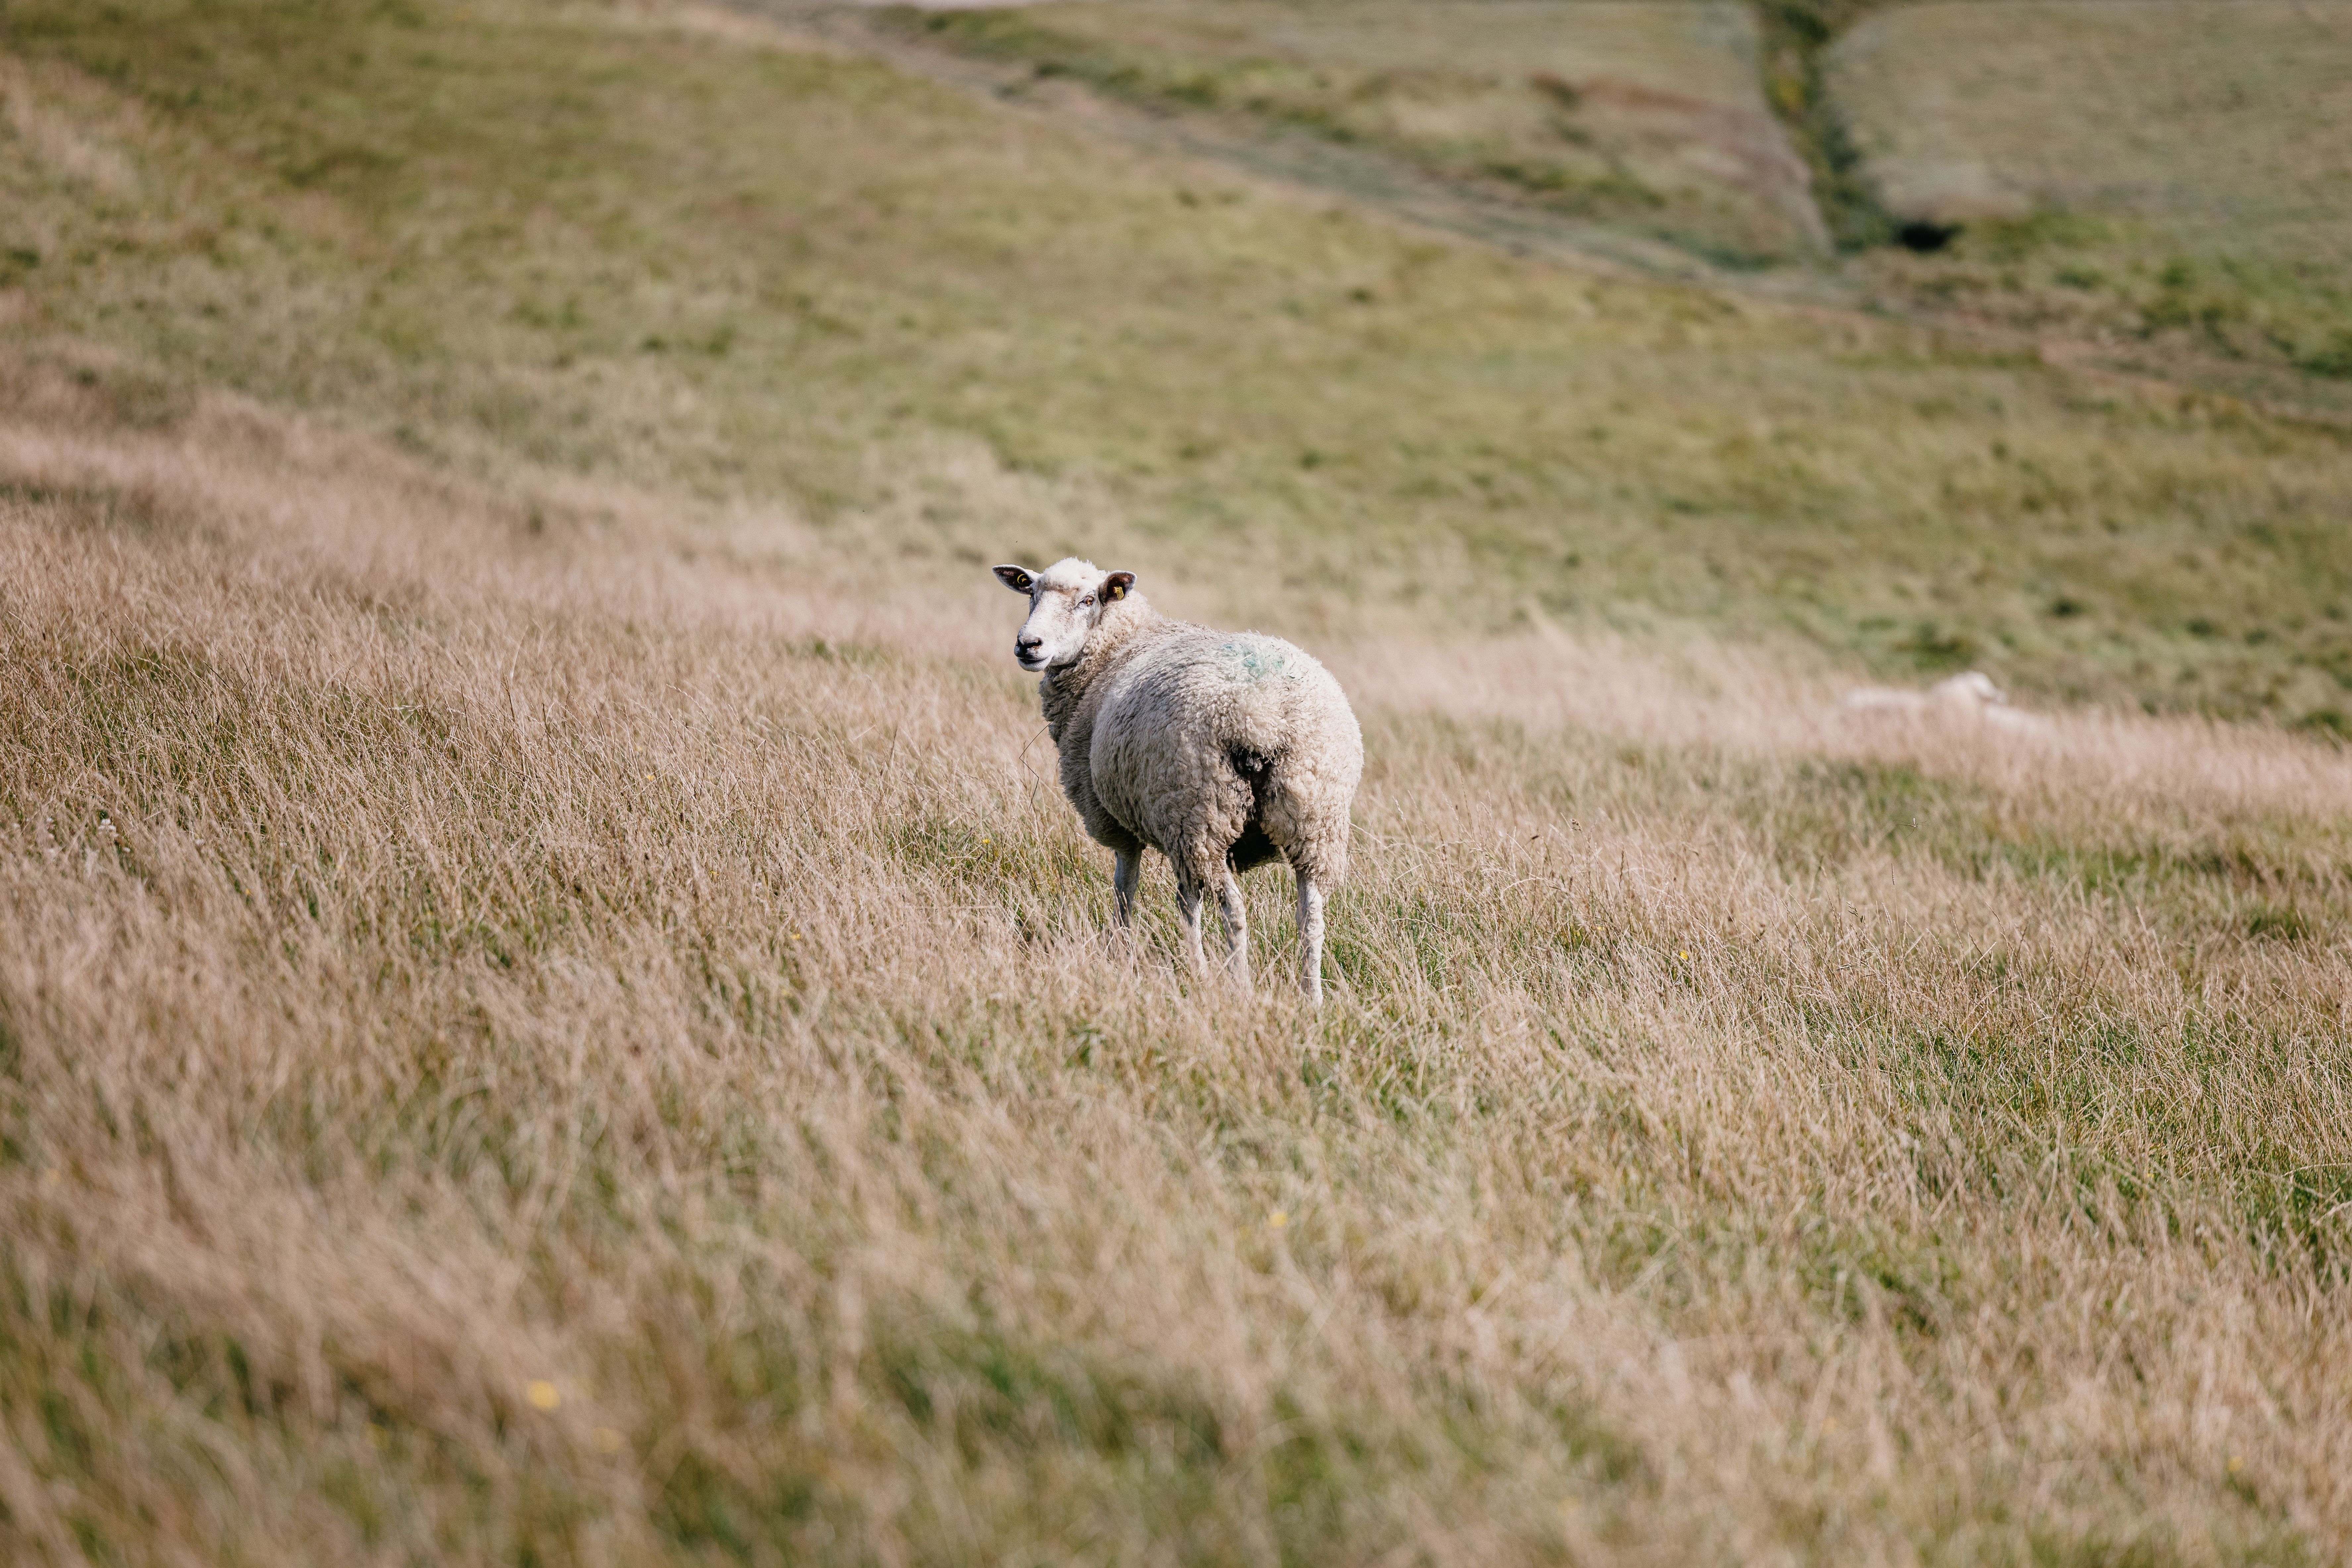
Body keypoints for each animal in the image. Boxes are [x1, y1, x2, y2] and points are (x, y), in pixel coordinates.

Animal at [993, 557, 1363, 1002]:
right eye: (1031, 593)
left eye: (1087, 601)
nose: (1028, 645)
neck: (1118, 648)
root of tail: (1265, 717)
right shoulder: (1172, 828)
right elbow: (1187, 902)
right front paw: (1193, 966)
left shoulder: (1123, 822)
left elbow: (1127, 889)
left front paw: (1127, 954)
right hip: (1313, 822)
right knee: (1311, 917)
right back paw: (1313, 998)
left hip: (1202, 815)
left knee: (1235, 911)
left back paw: (1240, 987)